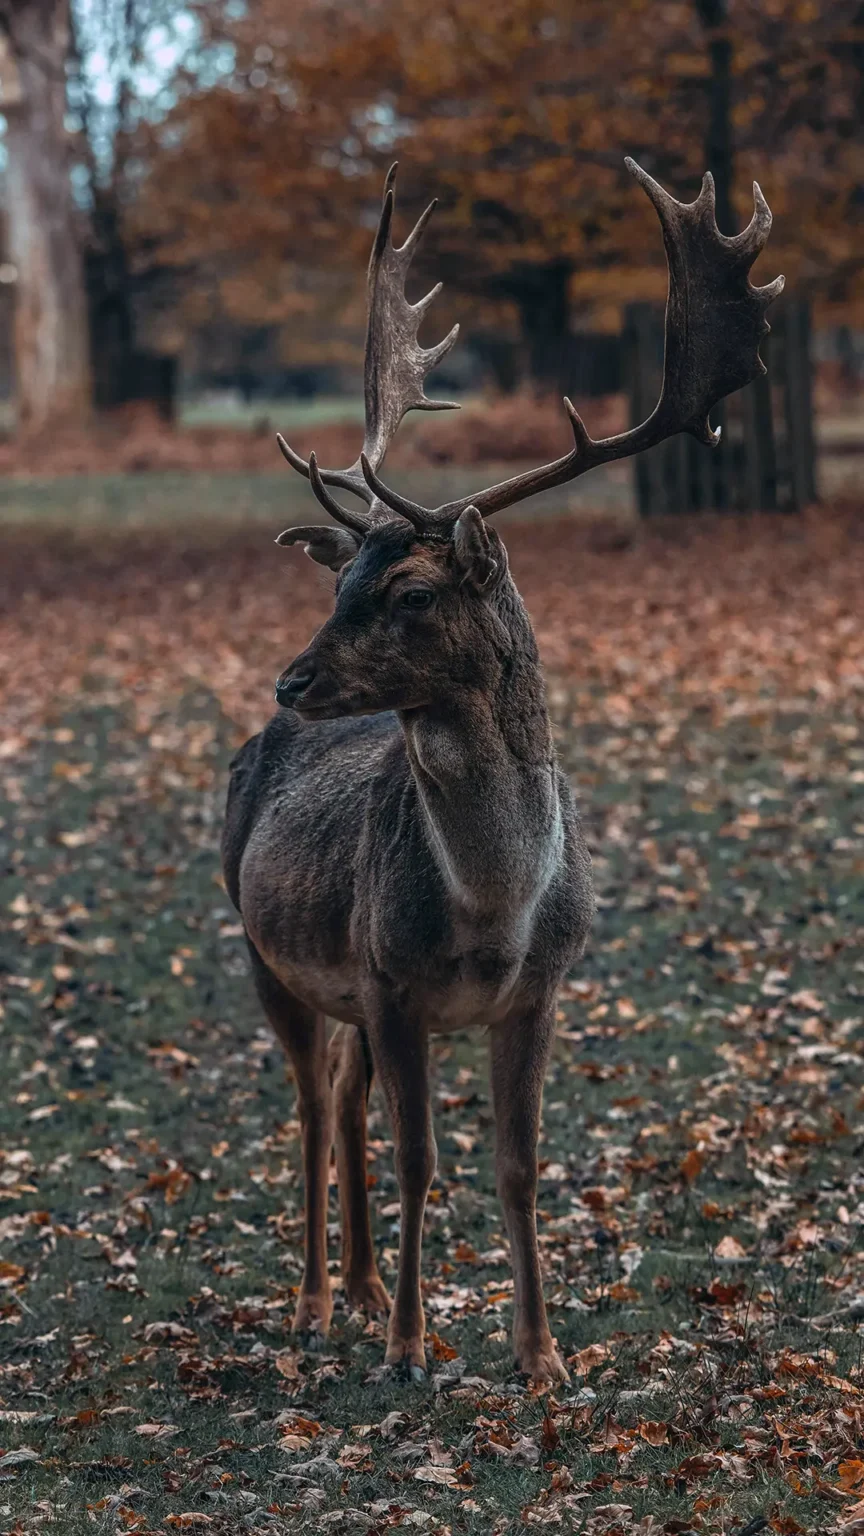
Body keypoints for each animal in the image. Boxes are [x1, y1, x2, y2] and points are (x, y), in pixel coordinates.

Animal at [221, 162, 780, 1388]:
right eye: (340, 586)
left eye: (414, 591)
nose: (292, 678)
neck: (494, 911)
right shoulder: (391, 979)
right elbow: (424, 1159)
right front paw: (408, 1350)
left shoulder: (540, 988)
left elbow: (520, 1167)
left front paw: (541, 1356)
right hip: (263, 949)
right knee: (308, 1108)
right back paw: (318, 1304)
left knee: (341, 1102)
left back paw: (361, 1286)